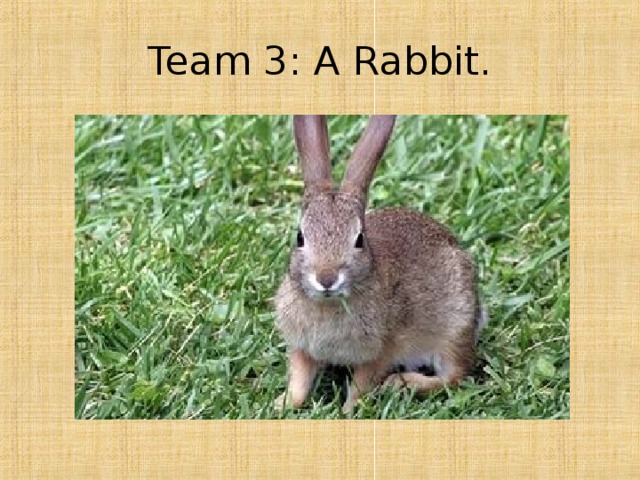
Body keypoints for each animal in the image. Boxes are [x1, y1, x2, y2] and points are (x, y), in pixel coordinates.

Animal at [274, 115, 486, 414]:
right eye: (300, 237)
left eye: (359, 239)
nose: (326, 278)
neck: (329, 304)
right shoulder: (302, 347)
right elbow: (300, 382)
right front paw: (282, 404)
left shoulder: (382, 350)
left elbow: (362, 384)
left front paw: (348, 411)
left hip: (454, 329)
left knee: (454, 376)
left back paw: (401, 383)